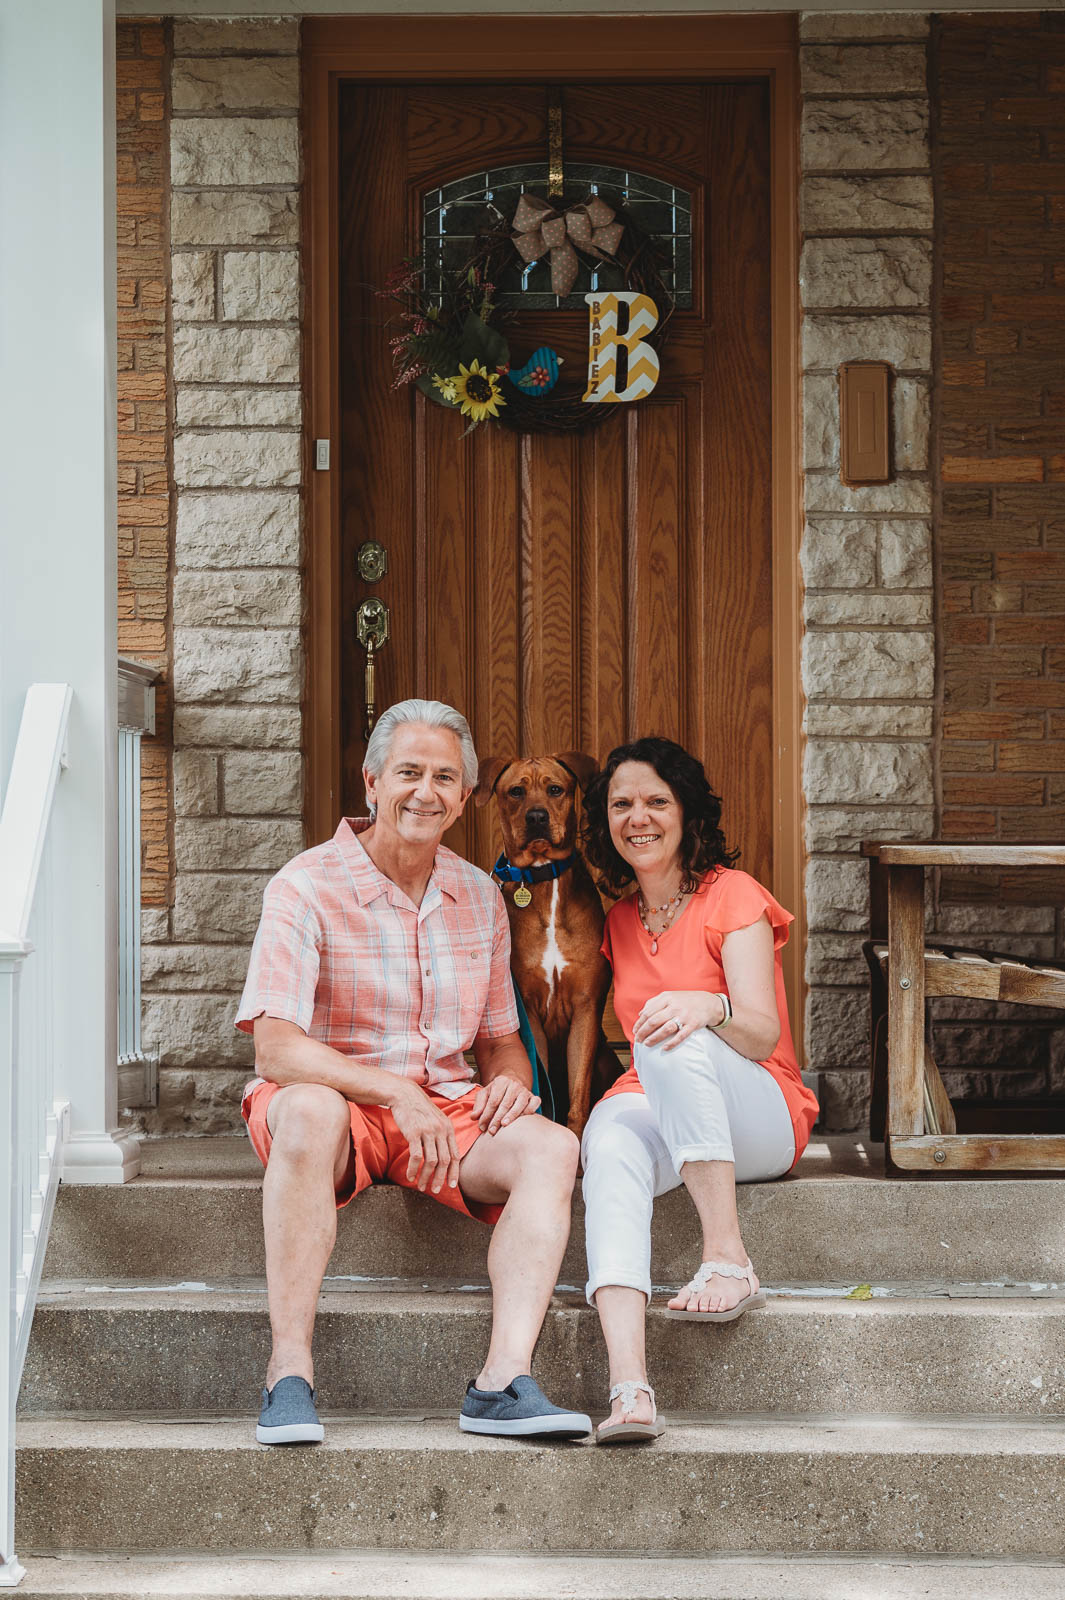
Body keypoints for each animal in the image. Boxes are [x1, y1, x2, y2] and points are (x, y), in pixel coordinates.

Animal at [473, 752, 617, 1139]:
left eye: (555, 789)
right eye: (516, 792)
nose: (536, 817)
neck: (543, 878)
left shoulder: (586, 1007)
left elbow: (579, 1100)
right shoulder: (531, 1010)